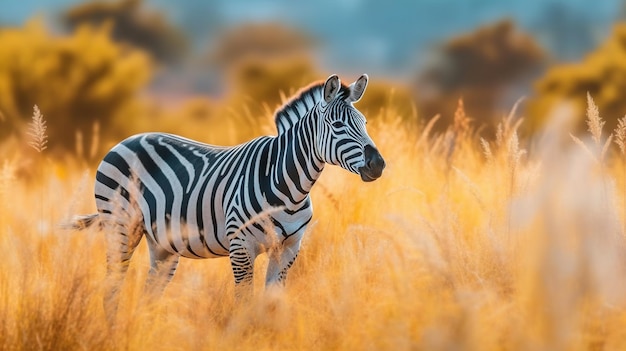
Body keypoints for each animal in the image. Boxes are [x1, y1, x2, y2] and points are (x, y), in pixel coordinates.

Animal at [73, 73, 386, 320]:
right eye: (338, 126)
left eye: (364, 122)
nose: (378, 164)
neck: (289, 188)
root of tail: (127, 139)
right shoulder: (241, 247)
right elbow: (244, 304)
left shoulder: (288, 249)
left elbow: (271, 304)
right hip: (121, 226)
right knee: (112, 287)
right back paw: (115, 333)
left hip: (162, 242)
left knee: (149, 295)